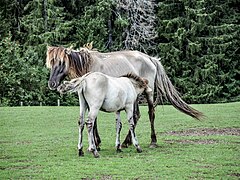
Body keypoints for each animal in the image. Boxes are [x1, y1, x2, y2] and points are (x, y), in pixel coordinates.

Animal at [46, 46, 203, 149]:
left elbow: (94, 121)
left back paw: (152, 141)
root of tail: (150, 58)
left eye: (61, 62)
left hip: (149, 93)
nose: (52, 83)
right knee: (136, 115)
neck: (88, 65)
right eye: (51, 63)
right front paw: (97, 142)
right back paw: (127, 142)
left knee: (151, 113)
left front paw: (97, 143)